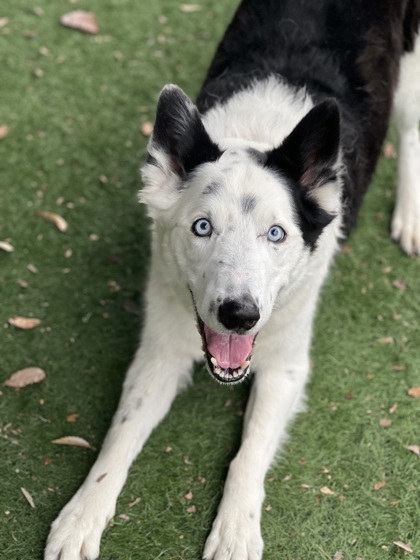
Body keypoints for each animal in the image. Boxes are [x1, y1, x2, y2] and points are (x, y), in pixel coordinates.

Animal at [46, 1, 420, 560]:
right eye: (203, 227)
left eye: (276, 233)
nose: (239, 316)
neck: (257, 134)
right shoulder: (160, 350)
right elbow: (120, 435)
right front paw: (82, 516)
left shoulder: (286, 367)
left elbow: (248, 453)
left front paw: (237, 530)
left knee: (414, 128)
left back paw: (410, 215)